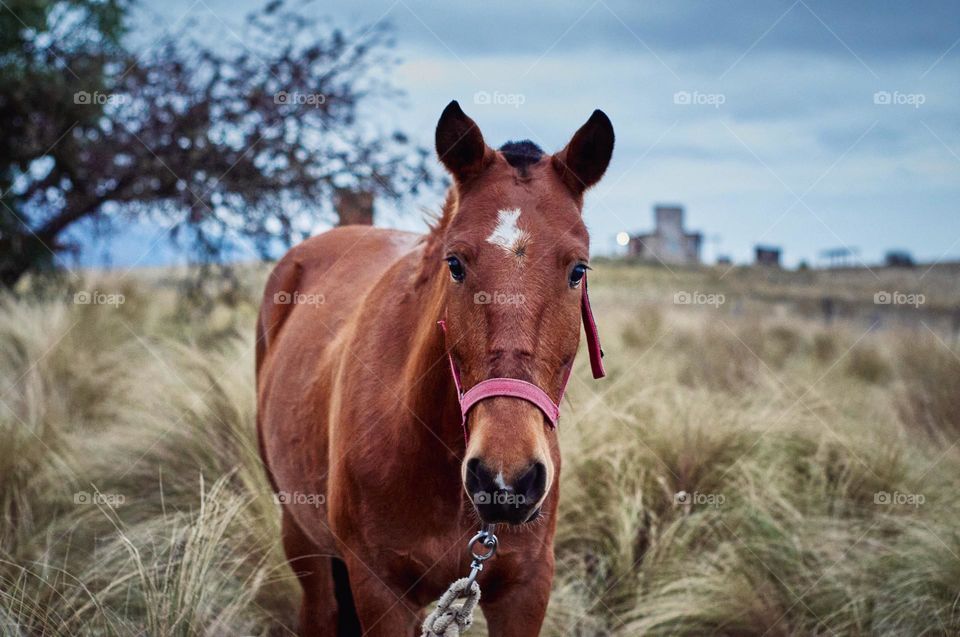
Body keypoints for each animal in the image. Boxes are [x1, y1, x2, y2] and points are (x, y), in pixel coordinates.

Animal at [256, 100, 614, 636]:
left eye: (578, 270)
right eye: (455, 263)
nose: (504, 481)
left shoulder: (526, 590)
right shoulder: (381, 592)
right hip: (302, 540)